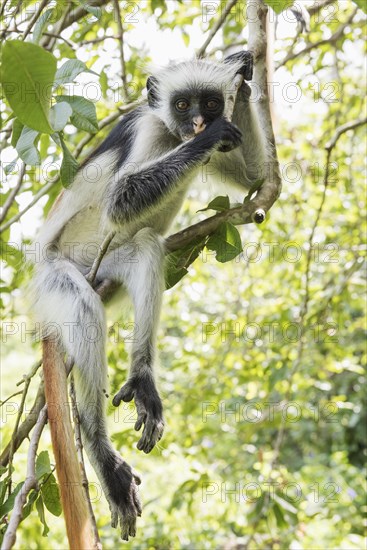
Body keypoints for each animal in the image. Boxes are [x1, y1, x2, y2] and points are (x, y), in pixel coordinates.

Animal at [30, 52, 268, 544]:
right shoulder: (152, 130)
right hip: (62, 267)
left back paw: (143, 381)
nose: (199, 122)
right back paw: (101, 452)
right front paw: (212, 135)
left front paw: (242, 72)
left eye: (211, 102)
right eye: (181, 105)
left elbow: (255, 177)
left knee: (144, 249)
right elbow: (120, 201)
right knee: (83, 306)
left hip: (109, 272)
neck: (176, 137)